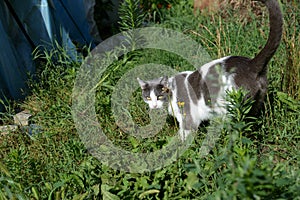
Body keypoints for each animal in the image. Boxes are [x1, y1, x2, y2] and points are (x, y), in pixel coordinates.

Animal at [137, 0, 282, 141]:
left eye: (159, 96)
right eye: (148, 97)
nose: (153, 105)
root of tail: (250, 63)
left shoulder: (189, 119)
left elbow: (184, 137)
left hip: (232, 108)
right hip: (256, 103)